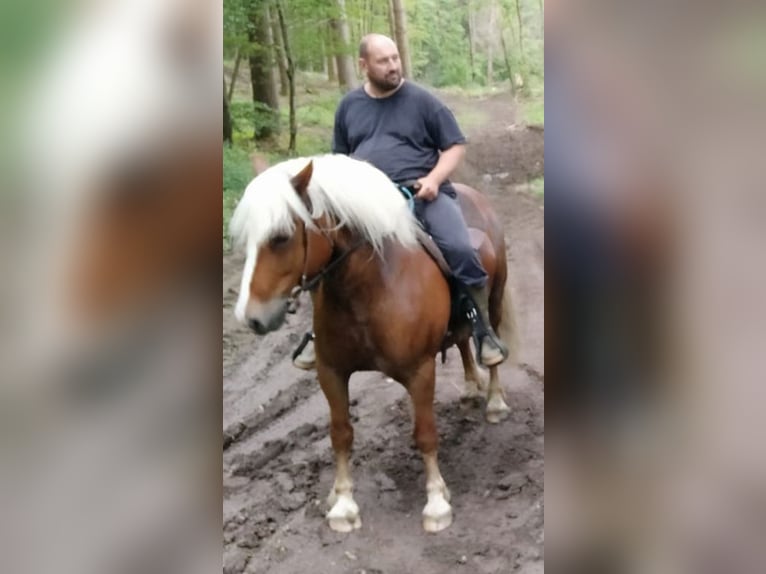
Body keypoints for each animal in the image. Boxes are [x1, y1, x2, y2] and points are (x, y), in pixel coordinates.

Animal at [232, 154, 520, 536]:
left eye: (281, 237)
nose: (250, 318)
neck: (368, 286)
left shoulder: (420, 371)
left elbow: (425, 433)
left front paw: (436, 503)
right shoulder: (331, 372)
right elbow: (341, 433)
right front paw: (343, 504)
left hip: (496, 297)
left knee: (490, 344)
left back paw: (495, 401)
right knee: (461, 338)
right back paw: (472, 387)